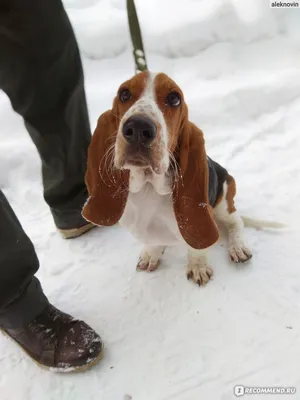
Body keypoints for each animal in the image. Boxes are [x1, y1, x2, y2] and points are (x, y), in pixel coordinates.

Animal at [82, 71, 253, 284]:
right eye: (124, 94)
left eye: (174, 98)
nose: (138, 128)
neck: (149, 187)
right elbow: (153, 241)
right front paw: (151, 254)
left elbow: (197, 247)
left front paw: (198, 266)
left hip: (224, 200)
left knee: (236, 222)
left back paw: (238, 247)